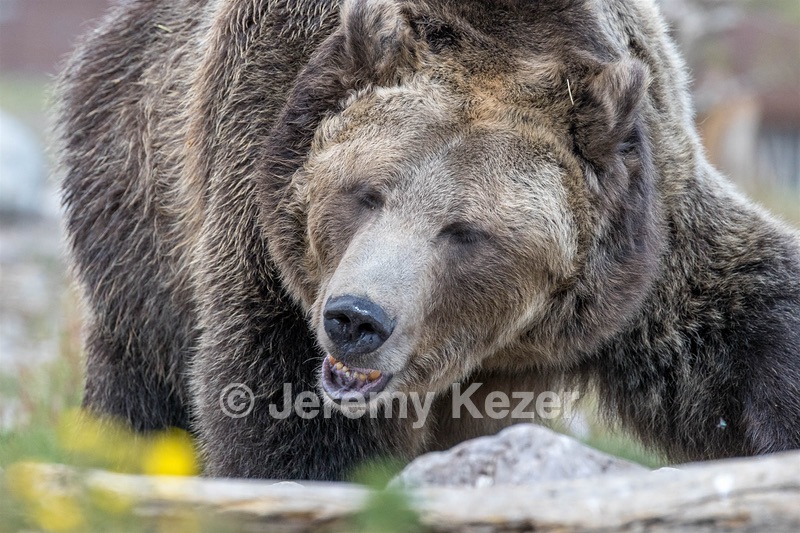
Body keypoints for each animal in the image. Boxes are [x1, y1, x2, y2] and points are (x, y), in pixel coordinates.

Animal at [55, 0, 800, 480]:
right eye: (365, 192)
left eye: (465, 231)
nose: (356, 319)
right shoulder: (264, 226)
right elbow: (285, 417)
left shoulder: (644, 249)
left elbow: (744, 328)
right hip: (139, 205)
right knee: (142, 383)